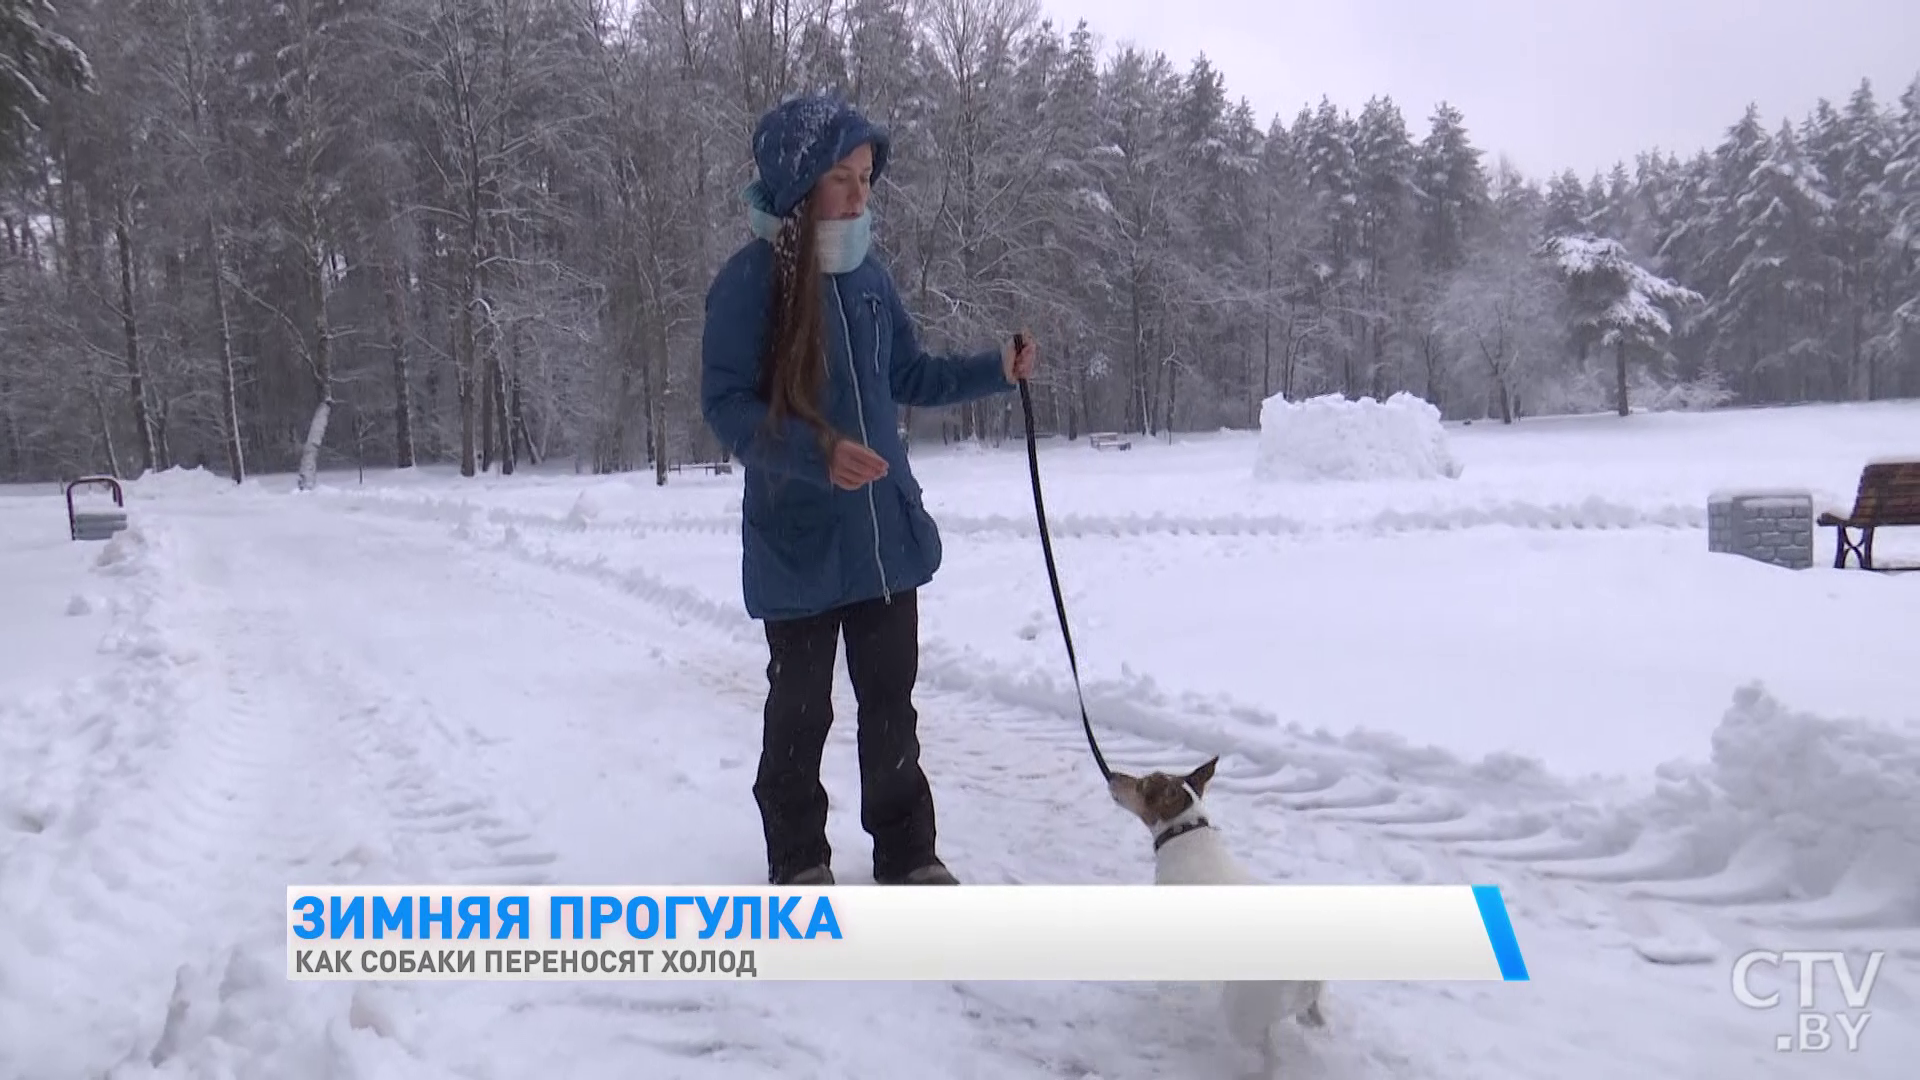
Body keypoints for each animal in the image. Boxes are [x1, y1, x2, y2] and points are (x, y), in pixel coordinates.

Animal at [1105, 753, 1328, 1068]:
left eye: (1142, 784)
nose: (1111, 775)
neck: (1184, 831)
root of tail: (1305, 973)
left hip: (1241, 1013)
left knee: (1269, 1054)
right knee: (1308, 1017)